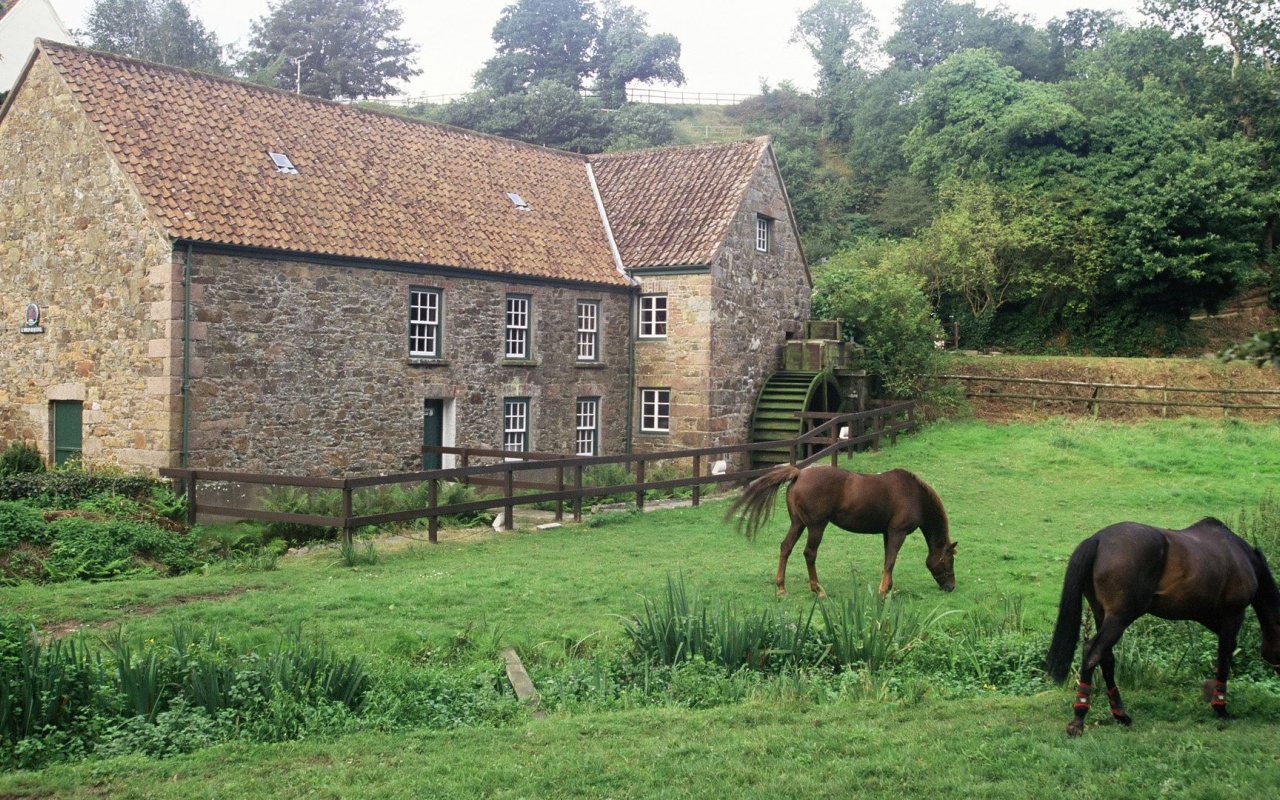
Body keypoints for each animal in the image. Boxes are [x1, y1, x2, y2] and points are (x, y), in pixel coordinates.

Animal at [727, 465, 957, 596]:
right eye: (950, 560)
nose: (951, 586)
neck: (915, 495)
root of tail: (799, 473)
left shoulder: (887, 533)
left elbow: (887, 560)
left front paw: (888, 587)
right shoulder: (897, 532)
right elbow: (891, 561)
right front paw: (884, 591)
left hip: (798, 524)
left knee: (786, 548)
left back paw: (781, 587)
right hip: (816, 526)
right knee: (809, 553)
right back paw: (817, 589)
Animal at [1049, 517, 1280, 737]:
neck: (1242, 556)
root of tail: (1098, 539)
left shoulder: (1215, 620)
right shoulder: (1233, 617)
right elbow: (1224, 661)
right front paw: (1221, 708)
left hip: (1101, 615)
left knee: (1106, 659)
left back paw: (1121, 715)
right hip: (1118, 618)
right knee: (1092, 652)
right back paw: (1078, 719)